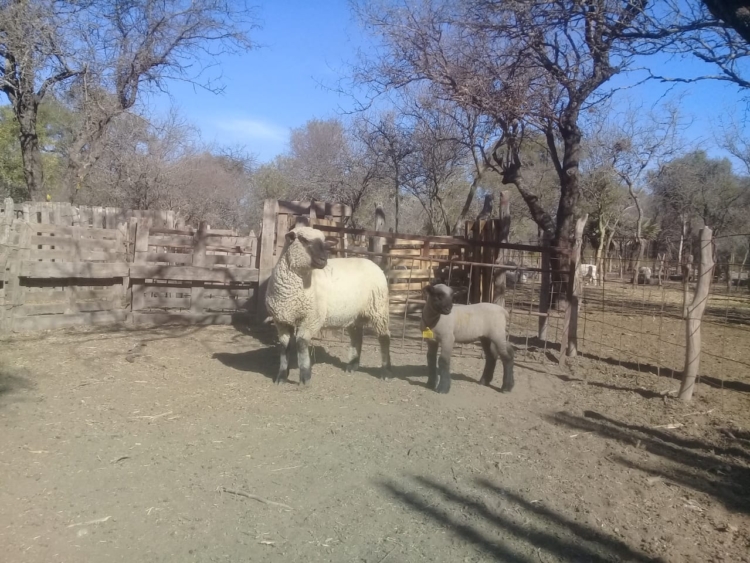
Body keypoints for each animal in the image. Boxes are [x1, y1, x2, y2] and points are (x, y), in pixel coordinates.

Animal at [265, 225, 392, 386]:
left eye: (325, 243)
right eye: (303, 240)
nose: (323, 260)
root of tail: (372, 263)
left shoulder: (312, 318)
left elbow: (301, 343)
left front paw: (305, 377)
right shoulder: (281, 320)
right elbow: (284, 346)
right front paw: (281, 376)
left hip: (379, 308)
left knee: (384, 338)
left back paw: (386, 372)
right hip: (354, 314)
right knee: (357, 336)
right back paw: (352, 366)